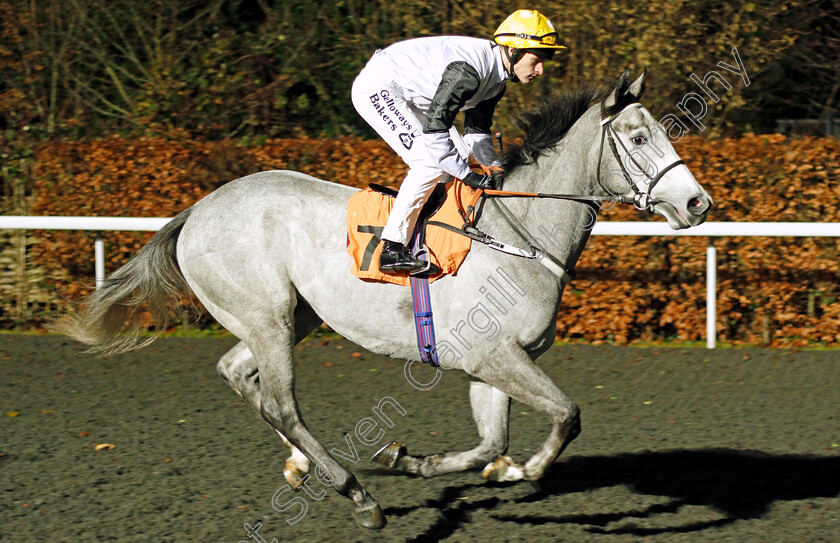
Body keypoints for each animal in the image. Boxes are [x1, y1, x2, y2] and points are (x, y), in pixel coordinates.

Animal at [55, 70, 708, 528]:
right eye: (639, 136)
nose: (697, 203)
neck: (521, 231)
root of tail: (196, 210)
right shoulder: (495, 356)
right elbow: (566, 416)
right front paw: (520, 471)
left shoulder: (493, 363)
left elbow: (490, 442)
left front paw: (420, 461)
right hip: (268, 317)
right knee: (282, 404)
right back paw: (357, 495)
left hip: (289, 317)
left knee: (241, 377)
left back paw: (300, 466)